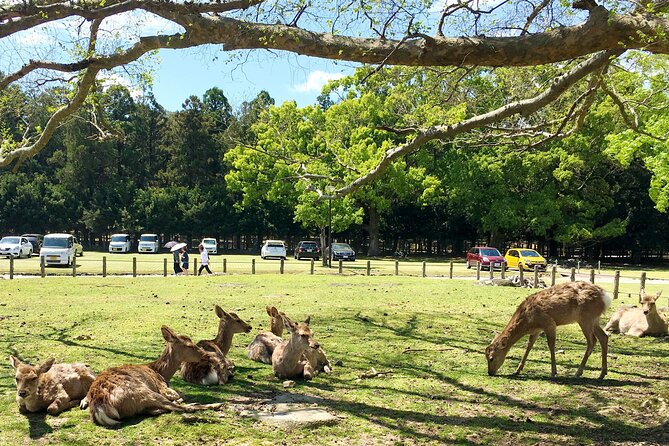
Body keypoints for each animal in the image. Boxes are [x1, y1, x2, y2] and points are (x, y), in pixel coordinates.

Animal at [85, 325, 223, 427]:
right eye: (189, 345)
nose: (207, 355)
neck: (160, 372)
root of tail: (99, 408)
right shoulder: (162, 387)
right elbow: (180, 394)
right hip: (142, 391)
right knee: (176, 407)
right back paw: (216, 405)